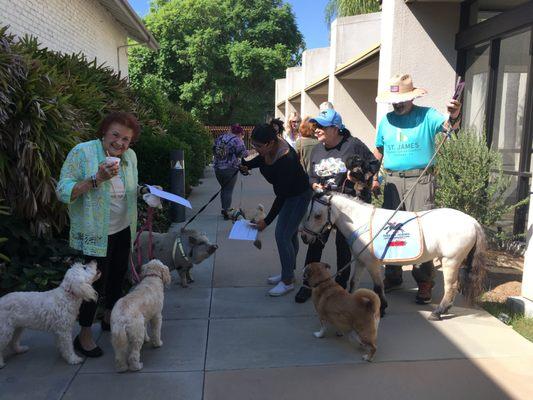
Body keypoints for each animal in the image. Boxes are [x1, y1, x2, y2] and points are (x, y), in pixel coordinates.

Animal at [302, 192, 484, 320]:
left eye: (317, 215)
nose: (304, 237)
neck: (362, 222)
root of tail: (473, 222)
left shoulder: (372, 263)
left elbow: (378, 287)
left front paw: (382, 308)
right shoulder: (360, 261)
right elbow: (354, 282)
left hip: (451, 261)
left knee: (451, 286)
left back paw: (438, 312)